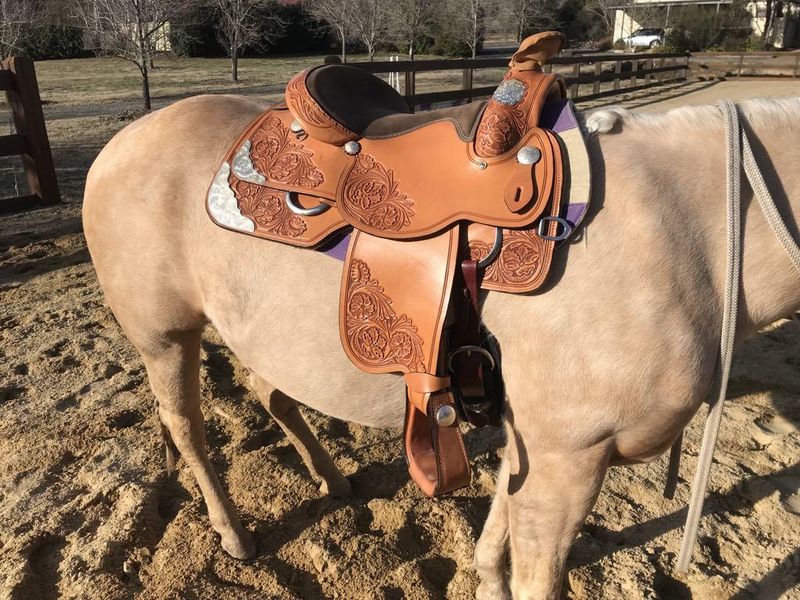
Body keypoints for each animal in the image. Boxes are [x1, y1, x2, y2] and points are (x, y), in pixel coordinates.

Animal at [82, 93, 800, 599]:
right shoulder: (570, 455)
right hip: (165, 337)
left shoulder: (536, 442)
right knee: (187, 425)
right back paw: (232, 533)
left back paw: (331, 478)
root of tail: (124, 139)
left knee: (269, 392)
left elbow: (497, 534)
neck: (688, 233)